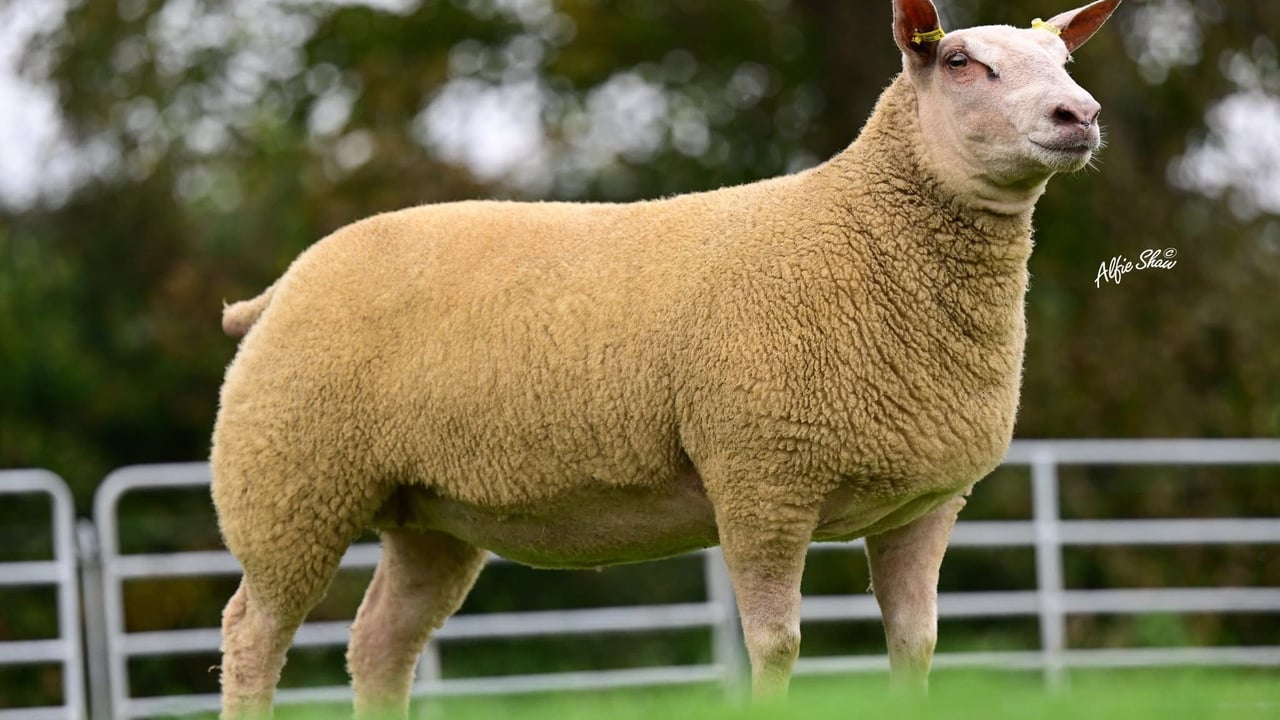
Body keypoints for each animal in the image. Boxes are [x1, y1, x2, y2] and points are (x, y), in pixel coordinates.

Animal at [211, 0, 1121, 716]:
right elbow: (776, 648)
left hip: (427, 512)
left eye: (1064, 61)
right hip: (288, 482)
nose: (1079, 114)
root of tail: (281, 286)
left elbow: (916, 648)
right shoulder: (761, 479)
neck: (861, 235)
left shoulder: (924, 502)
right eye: (962, 62)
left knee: (379, 645)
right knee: (253, 635)